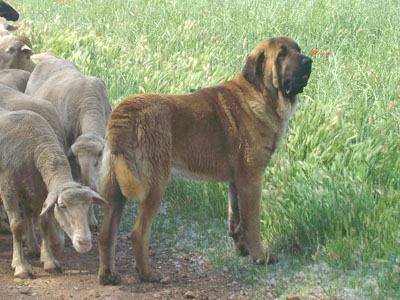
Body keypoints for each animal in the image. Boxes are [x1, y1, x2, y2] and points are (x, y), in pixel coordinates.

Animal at [0, 108, 105, 278]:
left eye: (89, 205)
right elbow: (16, 226)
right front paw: (20, 266)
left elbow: (43, 222)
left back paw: (33, 247)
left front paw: (49, 261)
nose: (84, 243)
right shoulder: (8, 189)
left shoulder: (42, 190)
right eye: (62, 205)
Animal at [97, 36, 312, 284]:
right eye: (281, 54)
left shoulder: (236, 181)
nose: (308, 61)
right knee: (138, 233)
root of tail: (122, 116)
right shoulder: (251, 178)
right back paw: (147, 274)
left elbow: (235, 218)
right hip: (154, 186)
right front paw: (260, 256)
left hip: (115, 189)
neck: (261, 93)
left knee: (106, 234)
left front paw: (241, 249)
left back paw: (108, 275)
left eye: (297, 49)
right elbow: (252, 221)